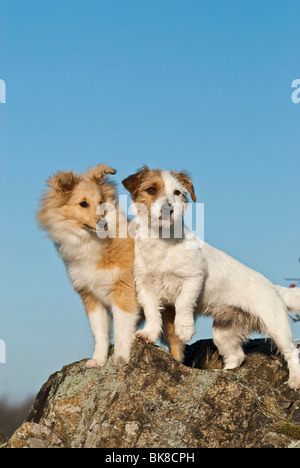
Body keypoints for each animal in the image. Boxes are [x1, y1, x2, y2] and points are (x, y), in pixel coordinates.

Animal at [37, 166, 139, 368]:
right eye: (83, 204)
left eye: (101, 203)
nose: (103, 223)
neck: (92, 242)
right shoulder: (91, 297)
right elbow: (99, 333)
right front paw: (98, 360)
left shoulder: (124, 291)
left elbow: (121, 330)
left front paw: (120, 359)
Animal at [121, 166, 300, 390]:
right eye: (151, 190)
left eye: (177, 193)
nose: (168, 209)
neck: (162, 242)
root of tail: (274, 288)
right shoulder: (145, 286)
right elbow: (152, 313)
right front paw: (149, 333)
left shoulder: (193, 278)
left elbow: (183, 303)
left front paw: (184, 329)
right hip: (224, 334)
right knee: (236, 356)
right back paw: (224, 373)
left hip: (276, 326)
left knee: (292, 352)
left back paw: (295, 380)